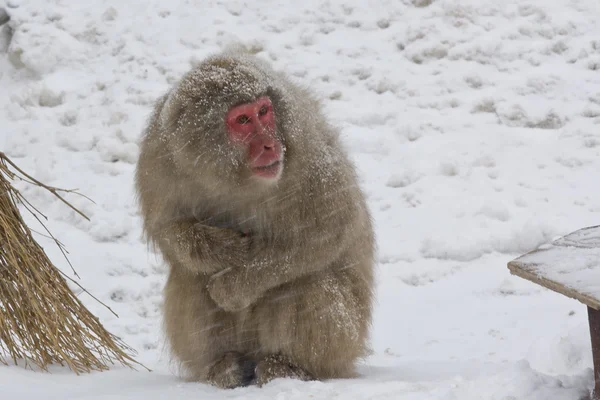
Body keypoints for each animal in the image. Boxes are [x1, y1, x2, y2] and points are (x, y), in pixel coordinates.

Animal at [135, 51, 376, 390]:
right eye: (243, 120)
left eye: (264, 111)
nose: (270, 145)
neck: (234, 177)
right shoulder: (159, 154)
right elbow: (168, 229)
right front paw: (219, 247)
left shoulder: (306, 146)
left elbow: (330, 226)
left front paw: (235, 286)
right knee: (189, 276)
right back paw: (224, 366)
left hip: (345, 342)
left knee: (304, 280)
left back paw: (288, 366)